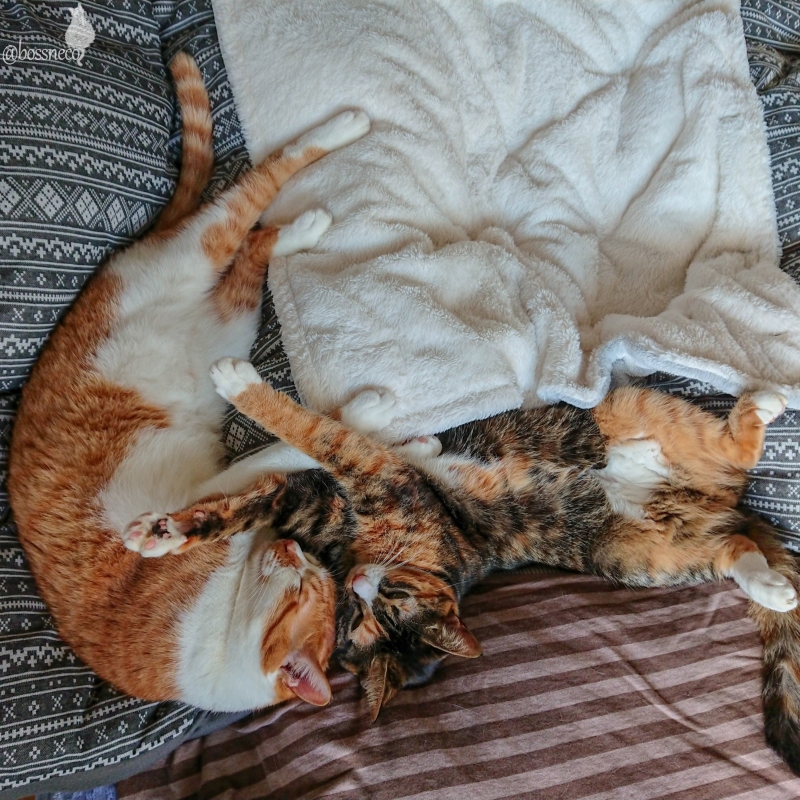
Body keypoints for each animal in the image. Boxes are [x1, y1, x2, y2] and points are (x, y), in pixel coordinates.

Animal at [7, 52, 372, 712]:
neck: (222, 628)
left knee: (253, 237)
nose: (290, 549)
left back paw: (306, 223)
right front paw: (377, 415)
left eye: (310, 570)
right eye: (306, 587)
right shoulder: (208, 493)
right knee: (251, 201)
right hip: (201, 266)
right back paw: (339, 138)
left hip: (233, 318)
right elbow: (298, 441)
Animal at [124, 357, 800, 773]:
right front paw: (163, 533)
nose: (360, 584)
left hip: (629, 417)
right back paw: (771, 585)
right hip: (638, 555)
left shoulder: (373, 477)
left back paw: (766, 401)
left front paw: (238, 385)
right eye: (358, 624)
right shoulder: (317, 504)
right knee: (732, 546)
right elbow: (254, 501)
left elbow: (315, 431)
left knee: (736, 451)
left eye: (394, 603)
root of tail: (715, 501)